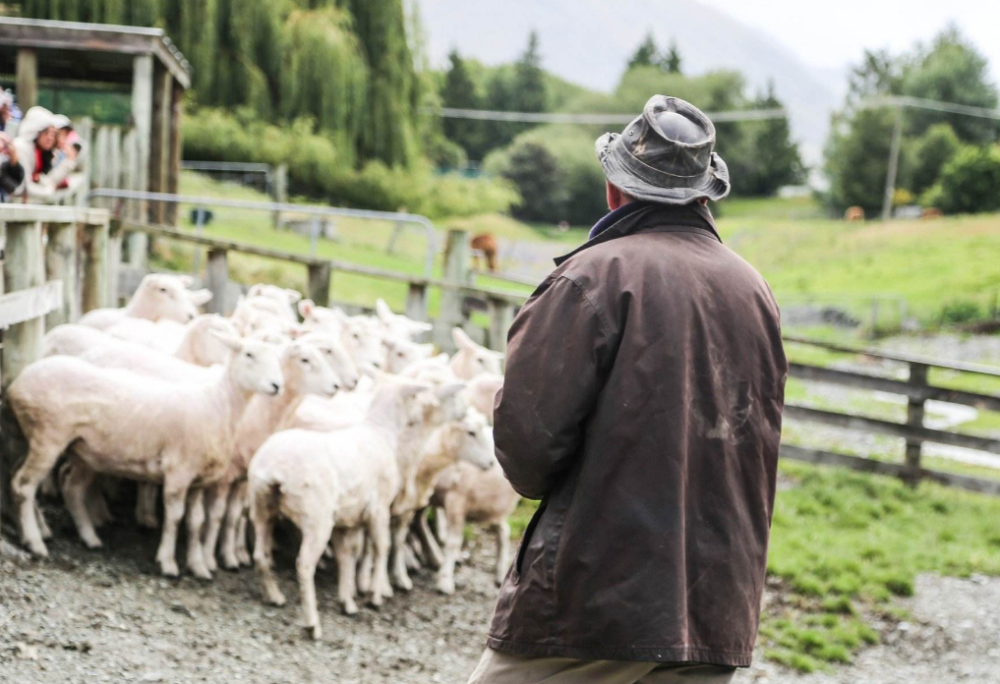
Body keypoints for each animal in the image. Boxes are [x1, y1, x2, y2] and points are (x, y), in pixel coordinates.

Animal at [9, 332, 286, 576]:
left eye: (278, 358)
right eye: (249, 354)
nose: (276, 386)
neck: (217, 405)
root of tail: (18, 381)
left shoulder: (199, 480)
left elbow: (196, 522)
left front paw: (198, 566)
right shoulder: (179, 472)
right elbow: (175, 519)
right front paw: (168, 563)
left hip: (68, 446)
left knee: (61, 485)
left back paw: (84, 537)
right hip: (48, 436)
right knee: (24, 486)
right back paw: (35, 541)